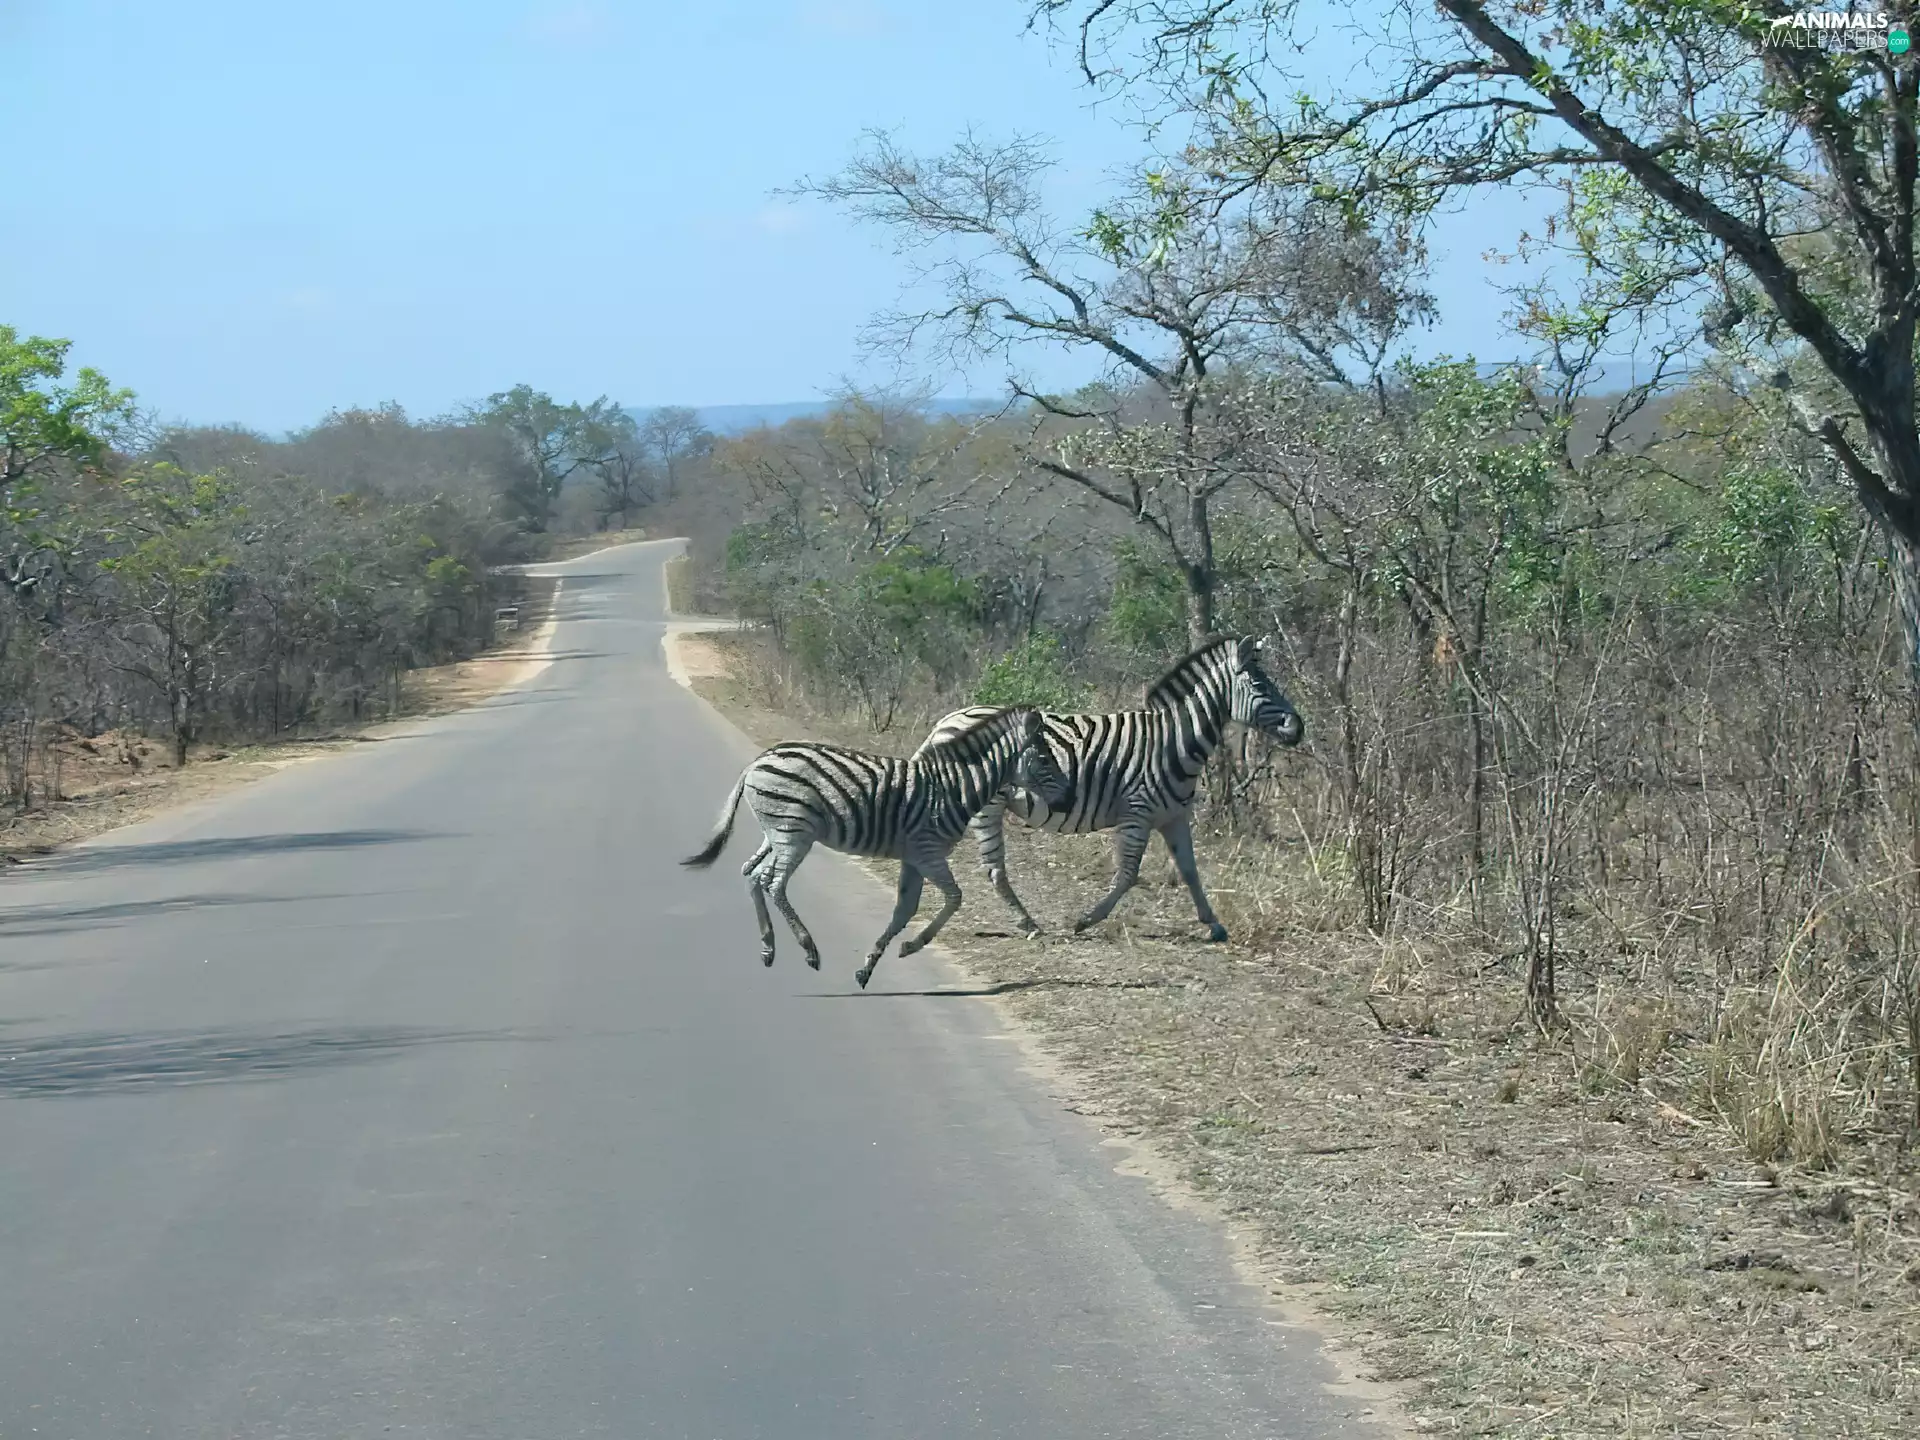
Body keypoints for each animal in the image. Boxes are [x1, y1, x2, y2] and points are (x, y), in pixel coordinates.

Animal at [682, 707, 1070, 989]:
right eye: (1045, 760)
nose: (1065, 803)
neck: (954, 787)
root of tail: (758, 761)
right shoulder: (928, 852)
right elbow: (954, 898)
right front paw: (913, 945)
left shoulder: (914, 858)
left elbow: (904, 911)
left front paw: (869, 967)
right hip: (793, 833)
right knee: (773, 883)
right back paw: (809, 950)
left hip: (777, 832)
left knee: (752, 874)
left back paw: (768, 947)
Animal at [913, 636, 1303, 943]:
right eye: (1261, 688)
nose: (1298, 727)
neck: (1174, 741)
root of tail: (946, 721)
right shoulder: (1137, 814)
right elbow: (1128, 875)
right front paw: (1086, 920)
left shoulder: (1174, 816)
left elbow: (1191, 872)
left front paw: (1215, 925)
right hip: (986, 806)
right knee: (994, 871)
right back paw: (1028, 923)